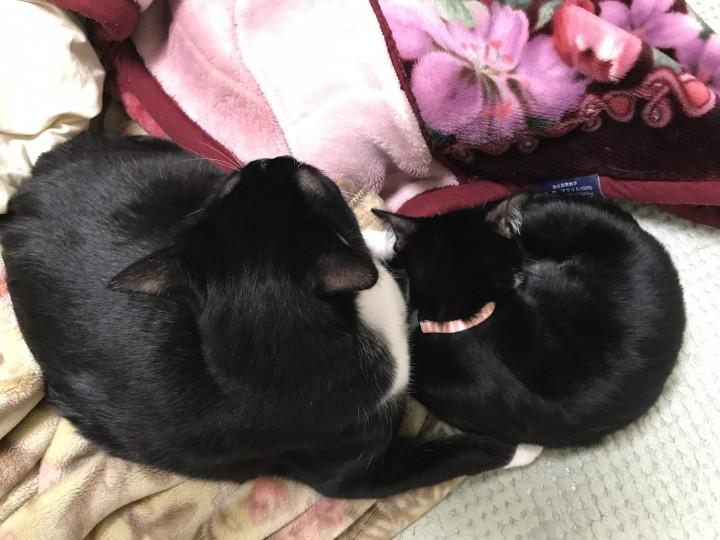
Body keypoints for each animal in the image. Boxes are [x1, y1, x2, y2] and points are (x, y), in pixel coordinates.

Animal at [0, 134, 538, 499]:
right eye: (311, 183)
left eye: (234, 185)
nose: (269, 160)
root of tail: (24, 194)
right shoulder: (350, 469)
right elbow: (451, 455)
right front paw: (520, 448)